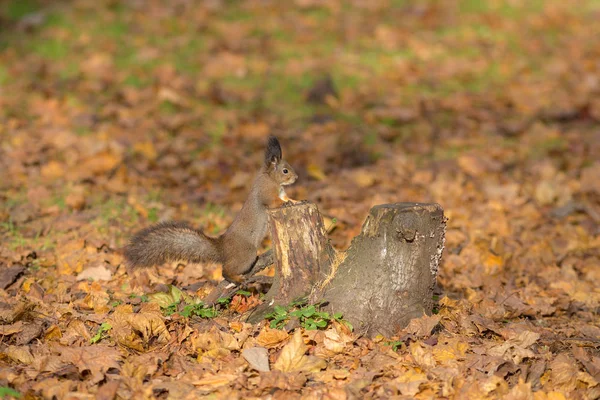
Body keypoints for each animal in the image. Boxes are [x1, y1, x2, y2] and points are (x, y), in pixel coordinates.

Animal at [124, 137, 298, 284]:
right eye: (285, 171)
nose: (296, 178)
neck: (270, 178)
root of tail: (222, 249)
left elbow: (286, 198)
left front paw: (295, 201)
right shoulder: (266, 192)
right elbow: (274, 201)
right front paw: (287, 202)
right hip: (246, 254)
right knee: (225, 270)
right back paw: (236, 278)